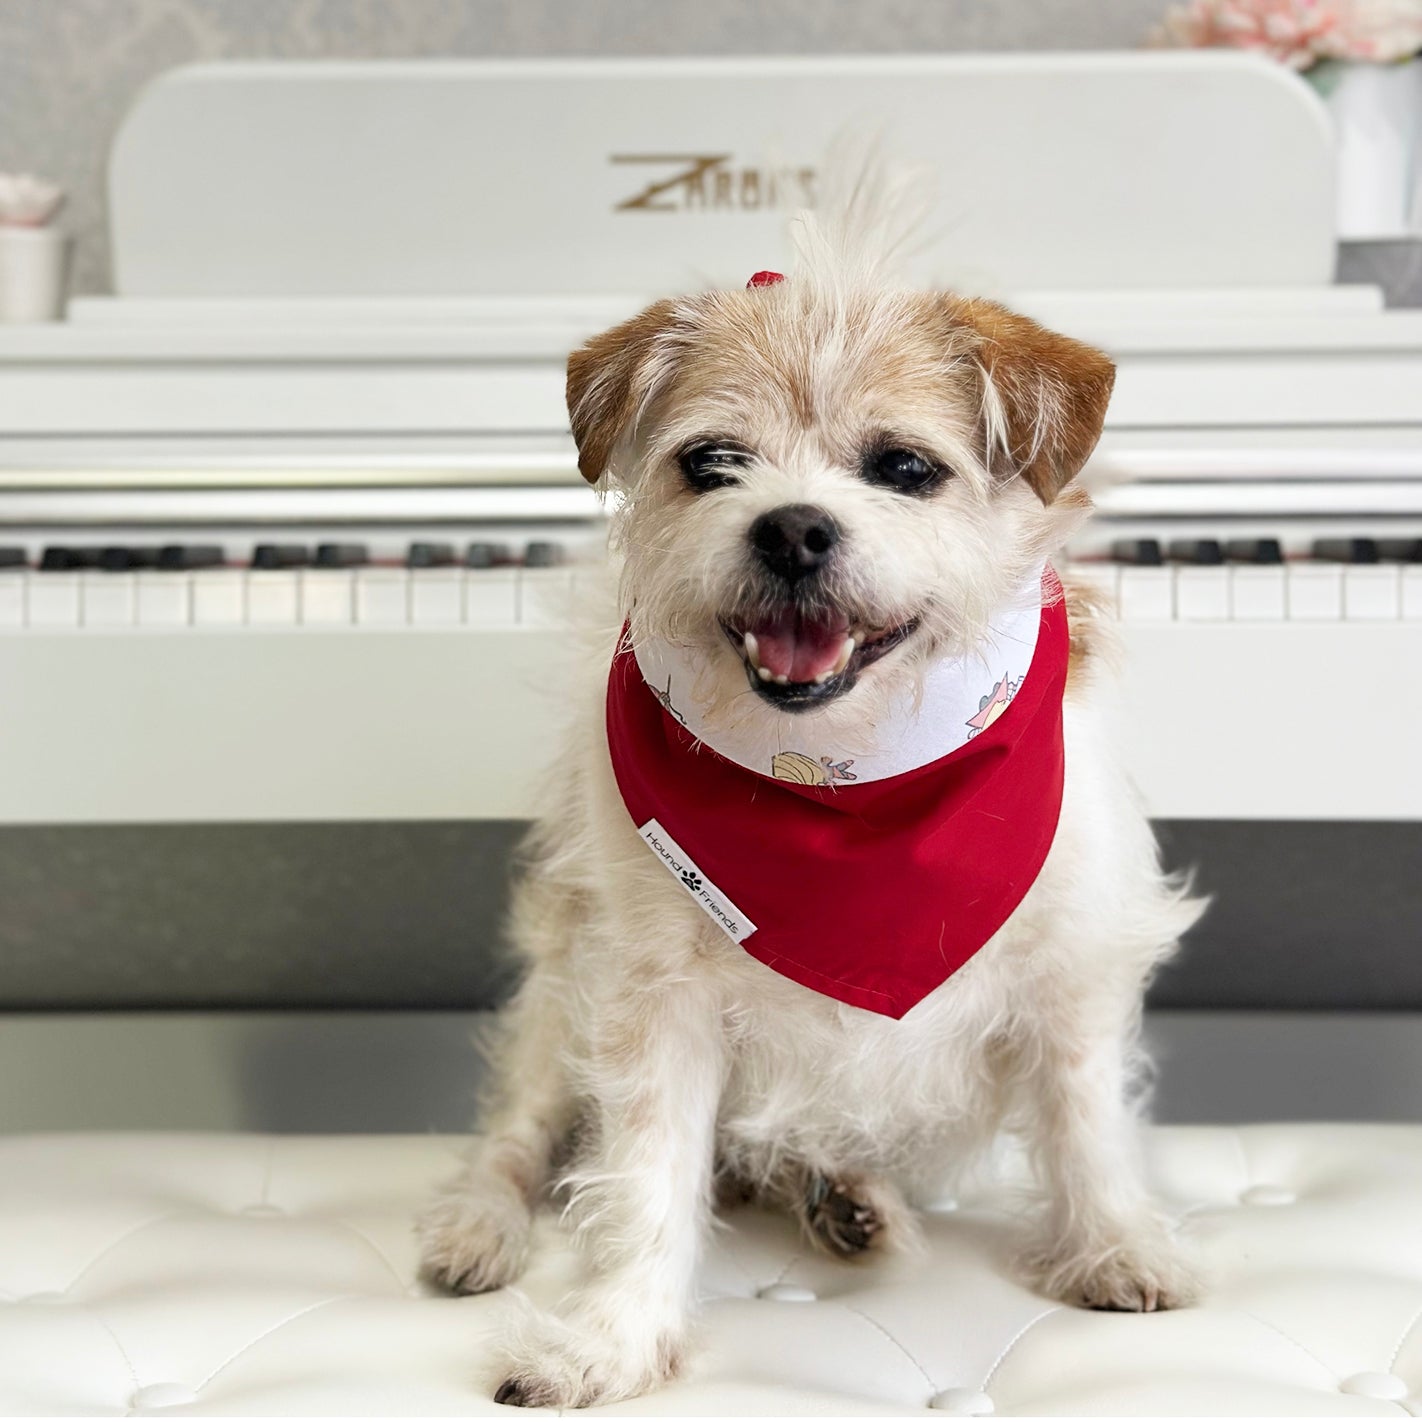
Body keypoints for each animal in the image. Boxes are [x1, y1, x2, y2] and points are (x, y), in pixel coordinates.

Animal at [415, 172, 1205, 1404]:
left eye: (904, 469)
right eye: (710, 463)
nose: (790, 526)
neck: (846, 788)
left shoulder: (1070, 966)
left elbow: (1084, 1118)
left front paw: (1115, 1244)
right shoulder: (652, 1004)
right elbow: (643, 1179)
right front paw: (611, 1342)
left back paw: (847, 1201)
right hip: (558, 997)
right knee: (521, 1133)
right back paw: (477, 1226)